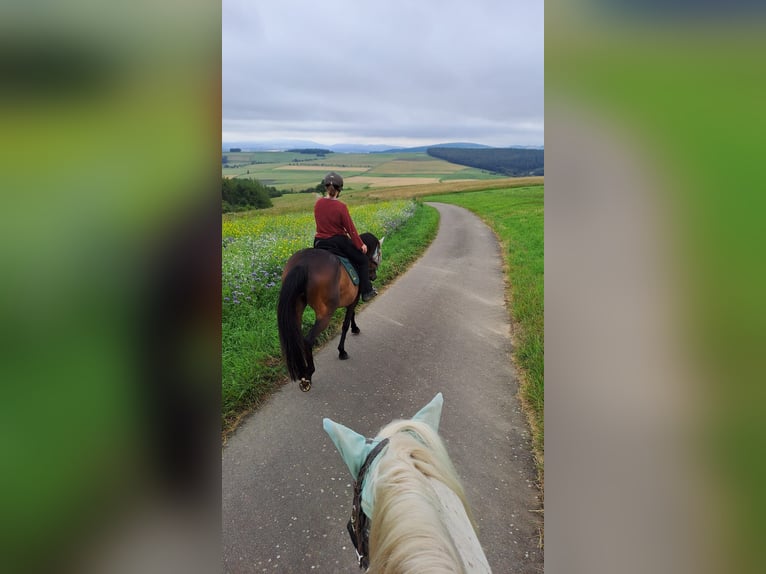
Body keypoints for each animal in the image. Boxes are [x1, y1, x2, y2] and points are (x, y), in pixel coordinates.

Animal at [278, 233, 382, 392]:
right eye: (378, 255)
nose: (374, 277)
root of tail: (303, 265)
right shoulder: (354, 298)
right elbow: (346, 323)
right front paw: (342, 350)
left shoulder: (351, 298)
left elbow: (351, 315)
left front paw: (355, 328)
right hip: (325, 314)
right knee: (308, 340)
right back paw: (308, 375)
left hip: (296, 308)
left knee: (297, 337)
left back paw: (302, 372)